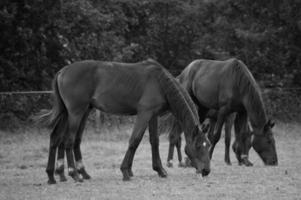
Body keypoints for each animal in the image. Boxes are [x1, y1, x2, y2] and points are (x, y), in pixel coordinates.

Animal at [38, 58, 210, 184]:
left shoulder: (152, 115)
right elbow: (135, 140)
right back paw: (74, 174)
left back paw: (55, 176)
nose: (206, 171)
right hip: (75, 113)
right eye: (197, 146)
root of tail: (63, 71)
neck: (160, 82)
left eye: (208, 145)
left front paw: (160, 170)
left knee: (58, 138)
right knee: (68, 140)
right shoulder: (144, 113)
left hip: (71, 113)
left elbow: (154, 141)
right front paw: (125, 171)